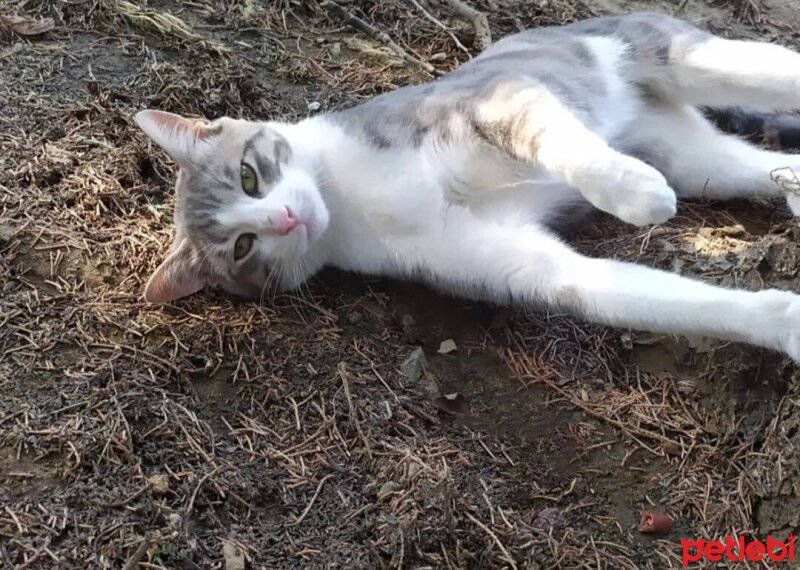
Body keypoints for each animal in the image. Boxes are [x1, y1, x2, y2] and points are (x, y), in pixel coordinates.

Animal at [138, 11, 800, 360]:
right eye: (243, 248)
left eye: (250, 176)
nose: (285, 220)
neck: (351, 203)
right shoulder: (513, 265)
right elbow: (627, 294)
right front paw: (782, 325)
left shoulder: (492, 102)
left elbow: (562, 143)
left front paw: (636, 193)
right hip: (697, 159)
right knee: (748, 165)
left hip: (686, 59)